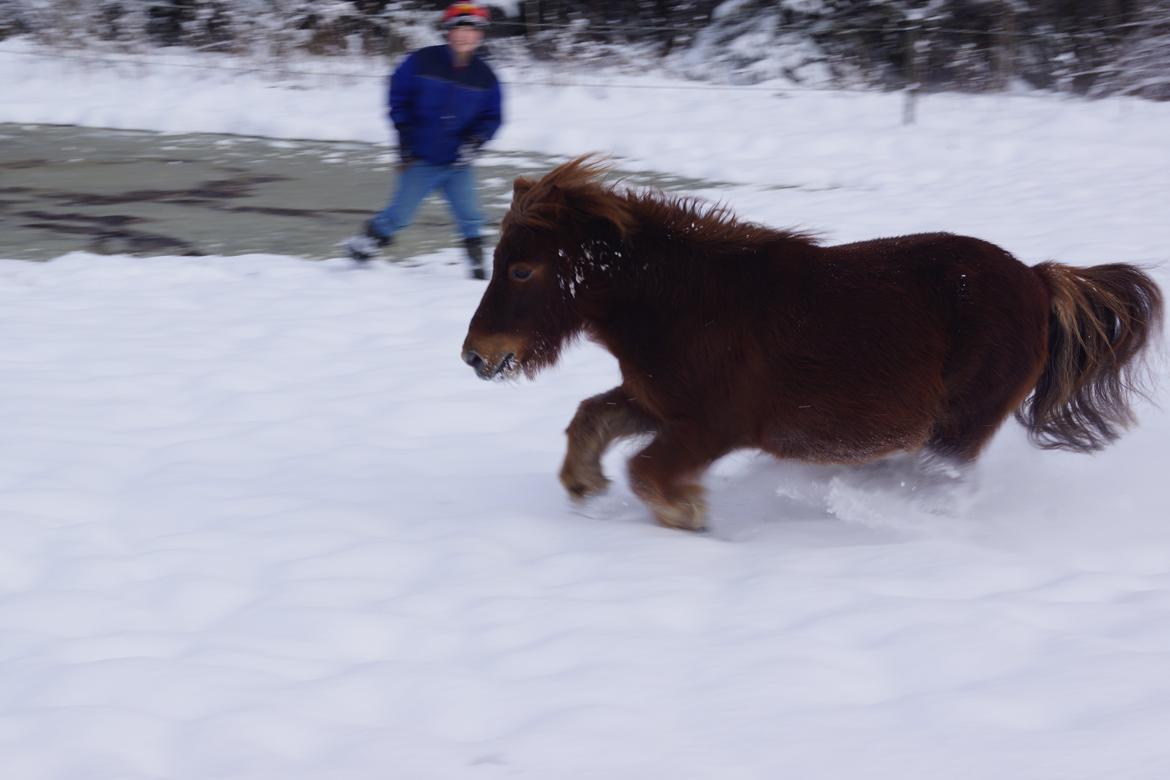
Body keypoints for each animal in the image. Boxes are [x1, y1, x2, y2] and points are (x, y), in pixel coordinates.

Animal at [460, 155, 1165, 530]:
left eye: (521, 270)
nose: (475, 356)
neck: (685, 303)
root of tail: (1039, 281)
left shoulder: (713, 425)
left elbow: (647, 470)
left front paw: (689, 516)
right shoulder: (662, 403)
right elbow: (592, 418)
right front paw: (583, 485)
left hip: (958, 426)